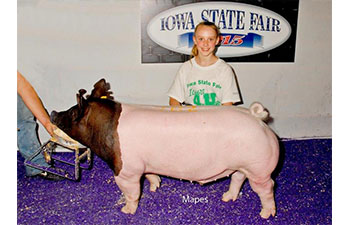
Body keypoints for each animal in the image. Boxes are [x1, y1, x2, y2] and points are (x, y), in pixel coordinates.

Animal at [50, 78, 278, 218]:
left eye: (73, 113)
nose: (53, 112)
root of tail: (257, 118)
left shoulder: (126, 171)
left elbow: (132, 192)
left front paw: (126, 211)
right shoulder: (144, 165)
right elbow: (150, 175)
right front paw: (155, 187)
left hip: (259, 169)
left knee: (268, 187)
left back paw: (266, 214)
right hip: (244, 165)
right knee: (238, 178)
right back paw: (227, 197)